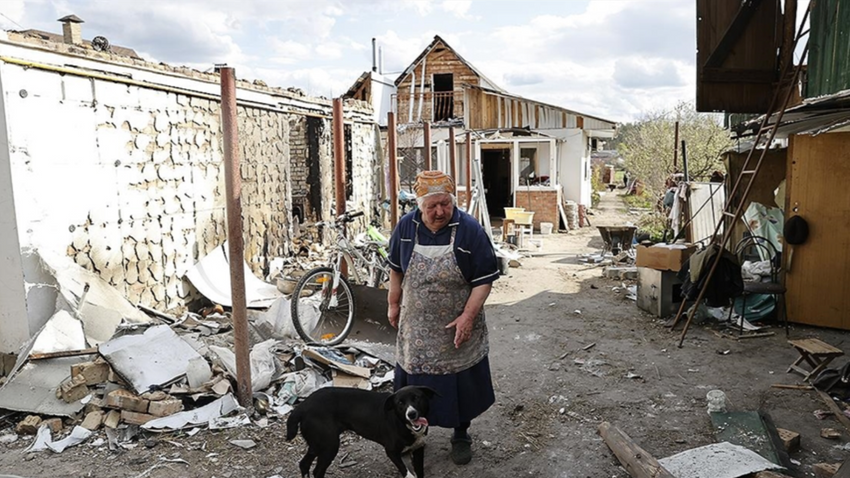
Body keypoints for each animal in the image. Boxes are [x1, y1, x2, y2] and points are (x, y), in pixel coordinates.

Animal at [286, 386, 438, 476]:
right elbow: (406, 471)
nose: (411, 414)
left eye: (416, 398)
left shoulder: (417, 448)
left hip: (318, 444)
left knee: (304, 464)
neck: (403, 423)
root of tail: (303, 406)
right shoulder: (391, 451)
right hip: (329, 445)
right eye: (400, 403)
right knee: (317, 471)